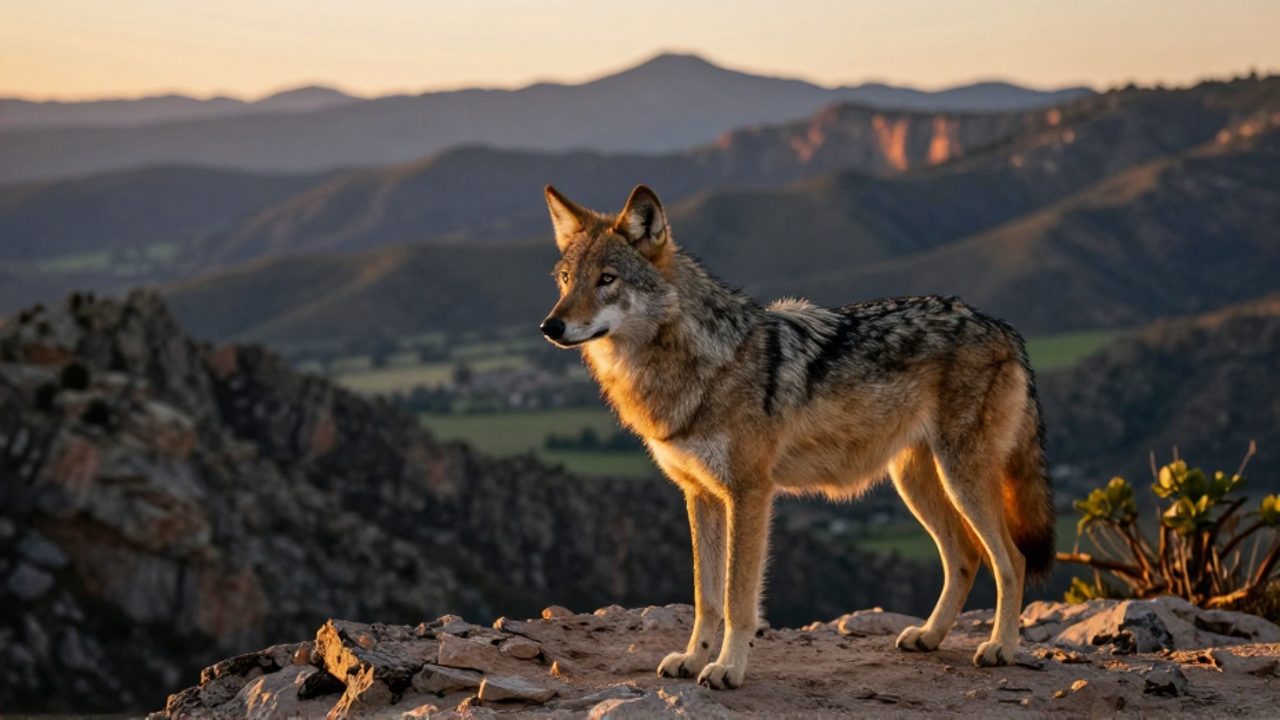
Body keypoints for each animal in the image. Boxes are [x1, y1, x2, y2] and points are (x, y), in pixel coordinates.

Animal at [539, 184, 1054, 689]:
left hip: (961, 479)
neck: (694, 364)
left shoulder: (749, 493)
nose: (550, 326)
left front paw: (727, 669)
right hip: (916, 483)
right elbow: (706, 596)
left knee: (1011, 560)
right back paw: (928, 636)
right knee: (965, 556)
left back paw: (1001, 648)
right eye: (565, 279)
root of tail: (1002, 327)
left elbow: (737, 599)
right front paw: (692, 658)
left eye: (607, 279)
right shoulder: (699, 494)